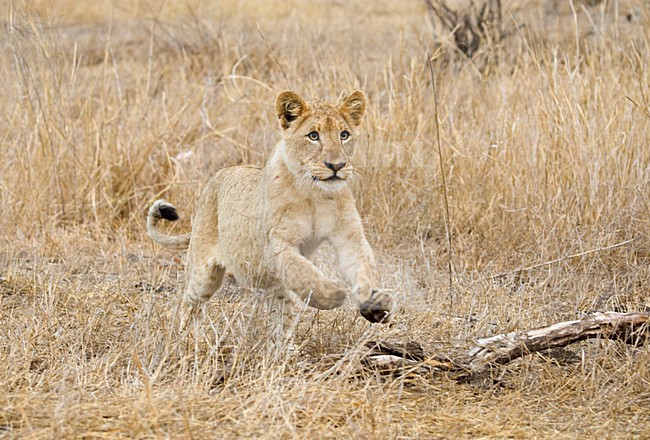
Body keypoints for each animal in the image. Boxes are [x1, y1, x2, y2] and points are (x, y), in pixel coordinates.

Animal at [147, 90, 395, 335]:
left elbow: (363, 265)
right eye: (313, 136)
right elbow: (302, 271)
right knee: (191, 303)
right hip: (203, 274)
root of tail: (214, 179)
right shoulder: (276, 243)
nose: (337, 165)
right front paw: (333, 294)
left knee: (282, 317)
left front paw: (374, 304)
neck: (315, 193)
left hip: (273, 291)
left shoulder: (349, 235)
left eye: (344, 135)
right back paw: (188, 338)